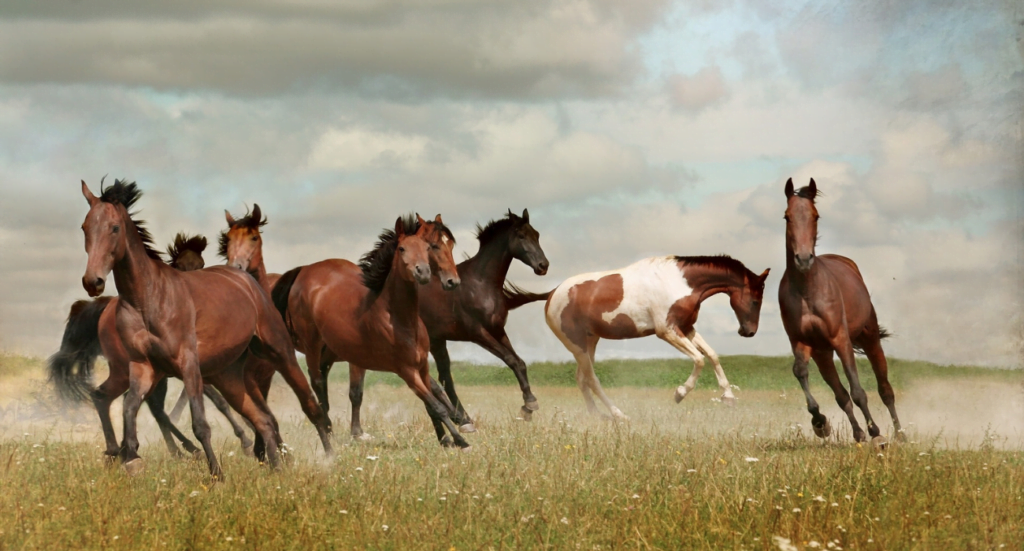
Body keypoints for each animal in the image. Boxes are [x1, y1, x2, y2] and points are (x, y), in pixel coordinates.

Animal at [47, 233, 256, 456]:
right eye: (179, 266)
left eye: (201, 264)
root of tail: (105, 309)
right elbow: (219, 401)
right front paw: (246, 439)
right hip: (135, 370)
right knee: (148, 406)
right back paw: (181, 449)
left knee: (146, 405)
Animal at [77, 178, 331, 473]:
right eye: (85, 227)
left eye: (115, 227)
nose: (92, 281)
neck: (146, 299)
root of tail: (247, 282)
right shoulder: (142, 366)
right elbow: (130, 408)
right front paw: (131, 458)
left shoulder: (188, 364)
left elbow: (200, 423)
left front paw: (216, 474)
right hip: (228, 376)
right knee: (264, 420)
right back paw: (276, 469)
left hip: (280, 353)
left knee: (309, 406)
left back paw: (329, 458)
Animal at [268, 214, 468, 446]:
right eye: (435, 246)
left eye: (447, 245)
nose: (452, 281)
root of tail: (304, 271)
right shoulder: (403, 368)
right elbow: (433, 402)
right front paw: (459, 436)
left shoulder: (417, 364)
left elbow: (432, 395)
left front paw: (452, 432)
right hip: (312, 345)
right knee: (316, 382)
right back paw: (326, 428)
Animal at [544, 252, 770, 415]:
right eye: (755, 301)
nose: (748, 332)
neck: (681, 282)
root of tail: (552, 293)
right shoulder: (667, 331)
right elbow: (699, 359)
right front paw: (679, 393)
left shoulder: (685, 328)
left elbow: (712, 355)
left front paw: (729, 397)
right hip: (577, 346)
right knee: (592, 380)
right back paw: (619, 415)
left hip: (590, 342)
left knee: (582, 379)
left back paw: (598, 416)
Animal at [778, 178, 901, 444]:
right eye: (787, 216)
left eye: (815, 215)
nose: (804, 259)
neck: (807, 291)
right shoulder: (801, 341)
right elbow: (801, 372)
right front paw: (820, 423)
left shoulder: (840, 338)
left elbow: (858, 390)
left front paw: (876, 432)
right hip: (823, 353)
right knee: (841, 394)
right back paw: (857, 432)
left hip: (870, 339)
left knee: (885, 389)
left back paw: (899, 434)